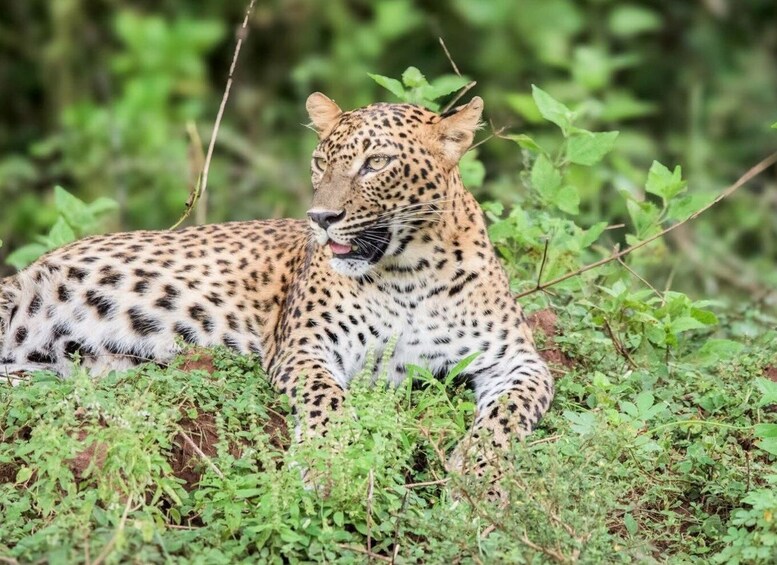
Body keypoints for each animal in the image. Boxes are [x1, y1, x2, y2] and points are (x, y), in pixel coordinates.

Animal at [0, 93, 554, 472]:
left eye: (376, 163)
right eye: (320, 162)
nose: (321, 218)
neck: (409, 274)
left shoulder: (518, 360)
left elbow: (509, 412)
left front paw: (480, 475)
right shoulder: (305, 349)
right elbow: (327, 399)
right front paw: (330, 463)